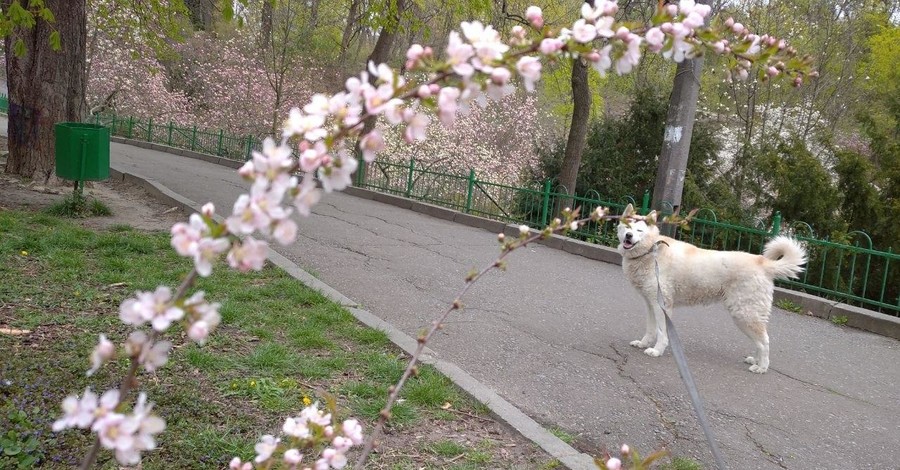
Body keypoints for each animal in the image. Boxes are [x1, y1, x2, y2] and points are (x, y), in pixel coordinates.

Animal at [620, 204, 808, 372]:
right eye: (627, 227)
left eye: (639, 231)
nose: (628, 236)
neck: (651, 252)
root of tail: (763, 263)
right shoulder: (651, 304)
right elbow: (651, 329)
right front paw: (643, 343)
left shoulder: (662, 306)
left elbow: (661, 333)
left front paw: (657, 351)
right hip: (746, 316)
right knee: (760, 341)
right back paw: (755, 360)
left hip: (744, 314)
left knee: (765, 341)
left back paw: (761, 367)